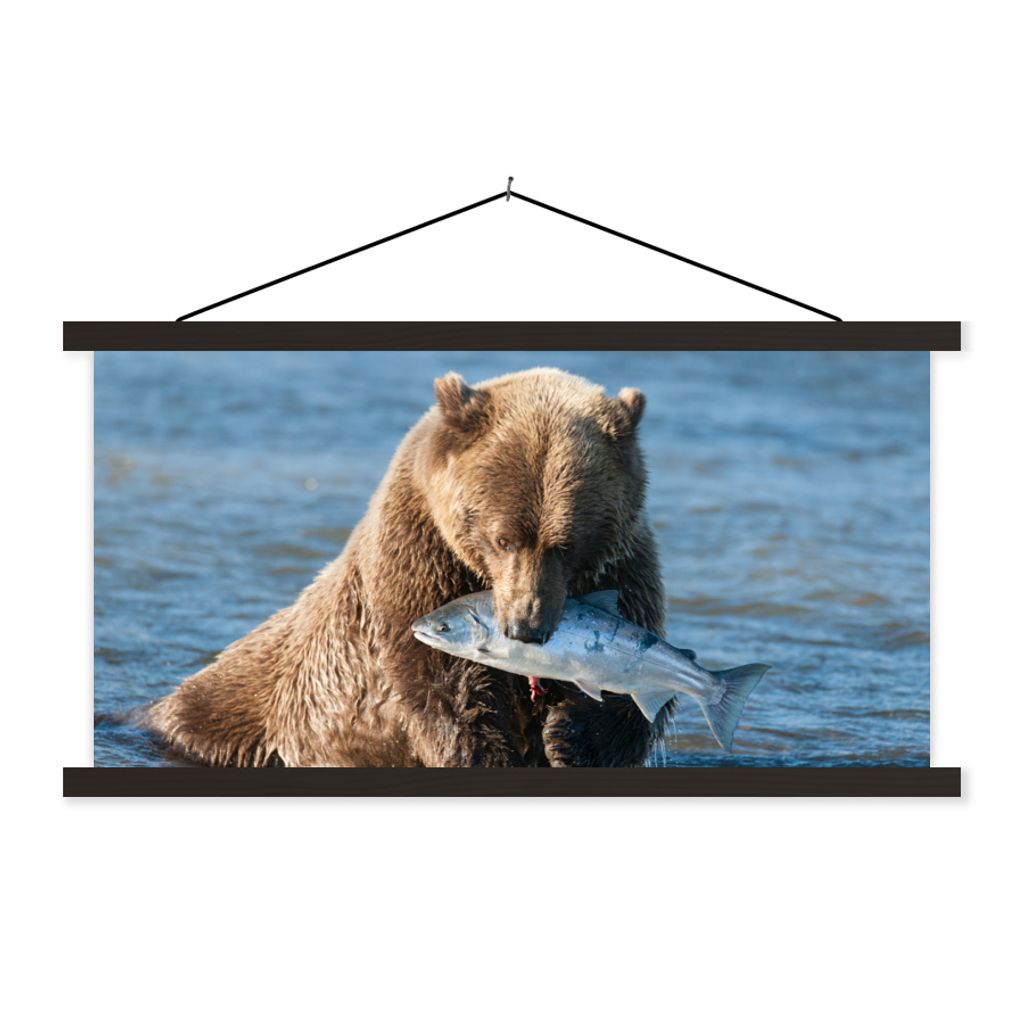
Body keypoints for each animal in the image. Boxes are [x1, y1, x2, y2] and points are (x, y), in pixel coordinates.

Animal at [144, 367, 669, 767]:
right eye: (503, 538)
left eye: (566, 544)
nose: (527, 627)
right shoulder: (420, 560)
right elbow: (448, 688)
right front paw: (488, 751)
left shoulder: (622, 567)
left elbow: (634, 689)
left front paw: (572, 735)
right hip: (249, 706)